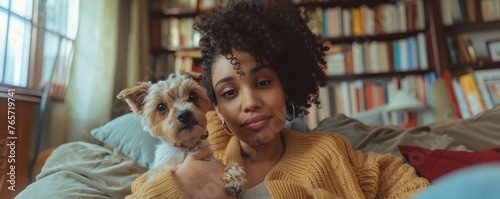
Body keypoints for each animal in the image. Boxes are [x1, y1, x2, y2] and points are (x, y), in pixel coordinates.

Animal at [115, 70, 248, 196]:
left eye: (193, 96)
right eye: (161, 107)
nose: (184, 114)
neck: (187, 146)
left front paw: (233, 176)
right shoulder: (160, 170)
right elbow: (170, 168)